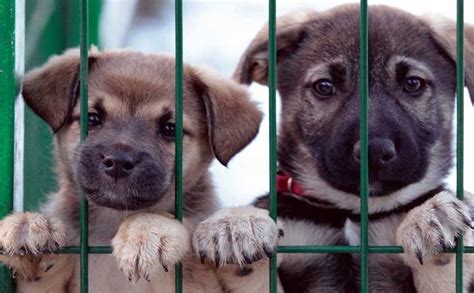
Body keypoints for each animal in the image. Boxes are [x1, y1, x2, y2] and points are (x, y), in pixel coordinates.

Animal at [0, 48, 266, 292]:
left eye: (170, 129)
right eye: (92, 118)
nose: (117, 162)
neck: (114, 219)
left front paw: (148, 233)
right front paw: (32, 226)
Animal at [233, 4, 474, 292]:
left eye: (413, 83)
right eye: (324, 86)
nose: (374, 151)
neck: (353, 211)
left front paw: (430, 218)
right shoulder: (302, 243)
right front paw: (240, 230)